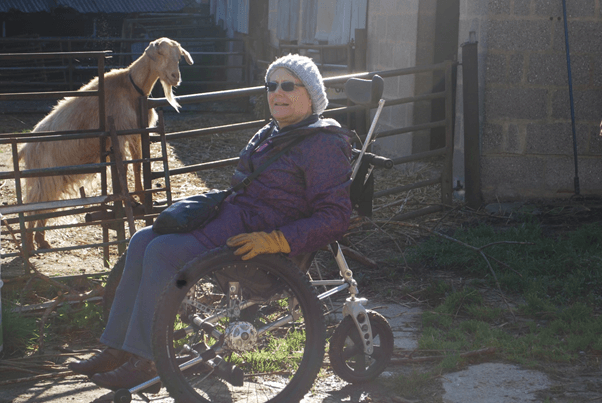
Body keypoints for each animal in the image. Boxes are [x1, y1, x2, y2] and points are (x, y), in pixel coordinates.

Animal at [18, 38, 192, 252]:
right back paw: (29, 244)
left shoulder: (134, 133)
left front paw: (142, 197)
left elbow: (137, 164)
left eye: (179, 56)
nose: (175, 77)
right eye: (160, 53)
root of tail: (25, 148)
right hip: (44, 178)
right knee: (32, 206)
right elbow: (124, 169)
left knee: (43, 206)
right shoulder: (119, 134)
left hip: (52, 179)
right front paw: (132, 200)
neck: (130, 86)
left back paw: (41, 241)